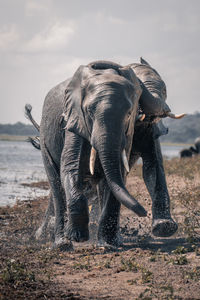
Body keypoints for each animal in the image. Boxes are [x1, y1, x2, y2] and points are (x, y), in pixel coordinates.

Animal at [26, 58, 184, 248]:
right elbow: (70, 167)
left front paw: (163, 229)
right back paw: (61, 242)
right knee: (57, 186)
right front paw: (78, 235)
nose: (143, 212)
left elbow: (151, 166)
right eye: (88, 112)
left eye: (164, 90)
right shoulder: (74, 119)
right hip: (45, 141)